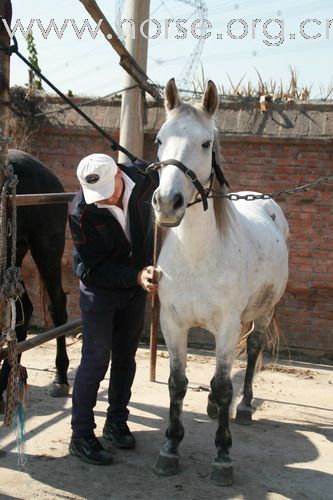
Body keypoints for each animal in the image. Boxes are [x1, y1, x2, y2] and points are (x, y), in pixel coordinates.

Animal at [150, 78, 288, 484]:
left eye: (205, 143)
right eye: (159, 139)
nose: (168, 203)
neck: (198, 257)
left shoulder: (227, 326)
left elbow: (225, 385)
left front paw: (222, 456)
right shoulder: (173, 324)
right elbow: (177, 384)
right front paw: (170, 448)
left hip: (264, 312)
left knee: (253, 350)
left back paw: (244, 408)